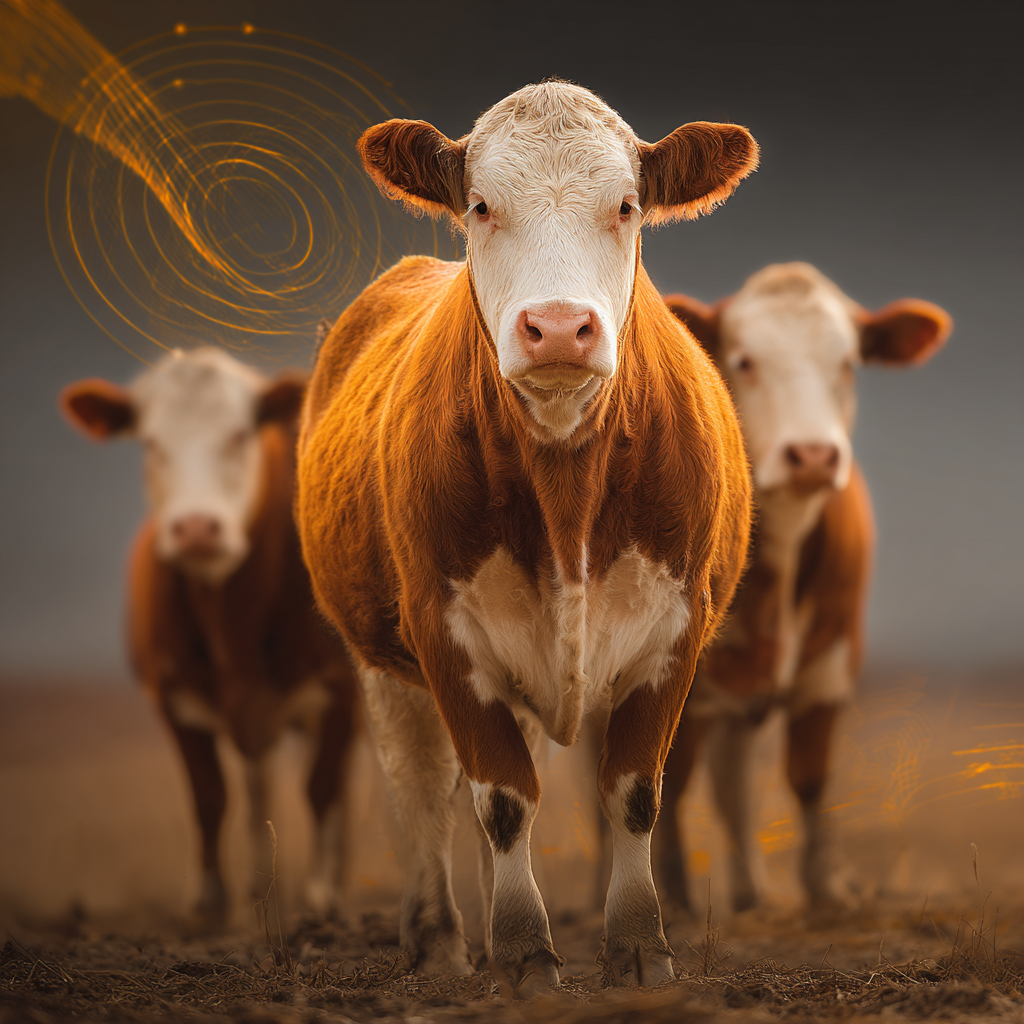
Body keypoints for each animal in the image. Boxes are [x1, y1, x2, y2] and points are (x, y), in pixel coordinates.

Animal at [61, 348, 359, 927]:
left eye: (241, 435)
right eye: (150, 442)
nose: (197, 528)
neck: (233, 627)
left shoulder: (343, 689)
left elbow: (321, 787)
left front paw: (320, 894)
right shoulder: (172, 697)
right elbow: (209, 797)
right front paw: (209, 899)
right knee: (258, 785)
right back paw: (259, 886)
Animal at [297, 81, 757, 989]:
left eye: (626, 206)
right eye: (480, 205)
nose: (557, 327)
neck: (565, 485)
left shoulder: (677, 626)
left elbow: (631, 792)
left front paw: (639, 947)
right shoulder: (441, 630)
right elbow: (501, 797)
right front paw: (519, 951)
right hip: (384, 662)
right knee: (426, 790)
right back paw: (440, 938)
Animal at [658, 262, 951, 914]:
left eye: (848, 363)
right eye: (742, 361)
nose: (813, 455)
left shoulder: (833, 657)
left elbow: (809, 775)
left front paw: (828, 888)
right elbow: (663, 781)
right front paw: (670, 897)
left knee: (734, 782)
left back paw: (750, 890)